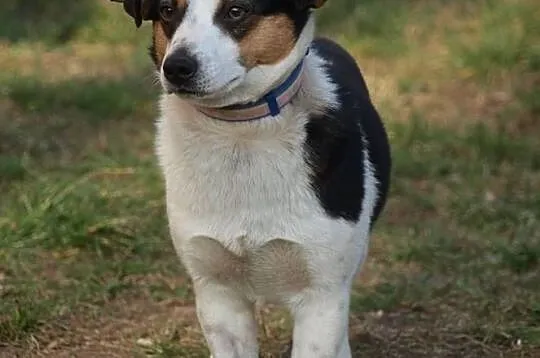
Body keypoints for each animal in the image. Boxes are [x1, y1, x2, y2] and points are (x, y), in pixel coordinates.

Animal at [112, 1, 390, 356]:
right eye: (166, 10)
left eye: (236, 11)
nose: (176, 67)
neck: (241, 132)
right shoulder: (217, 293)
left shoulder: (322, 296)